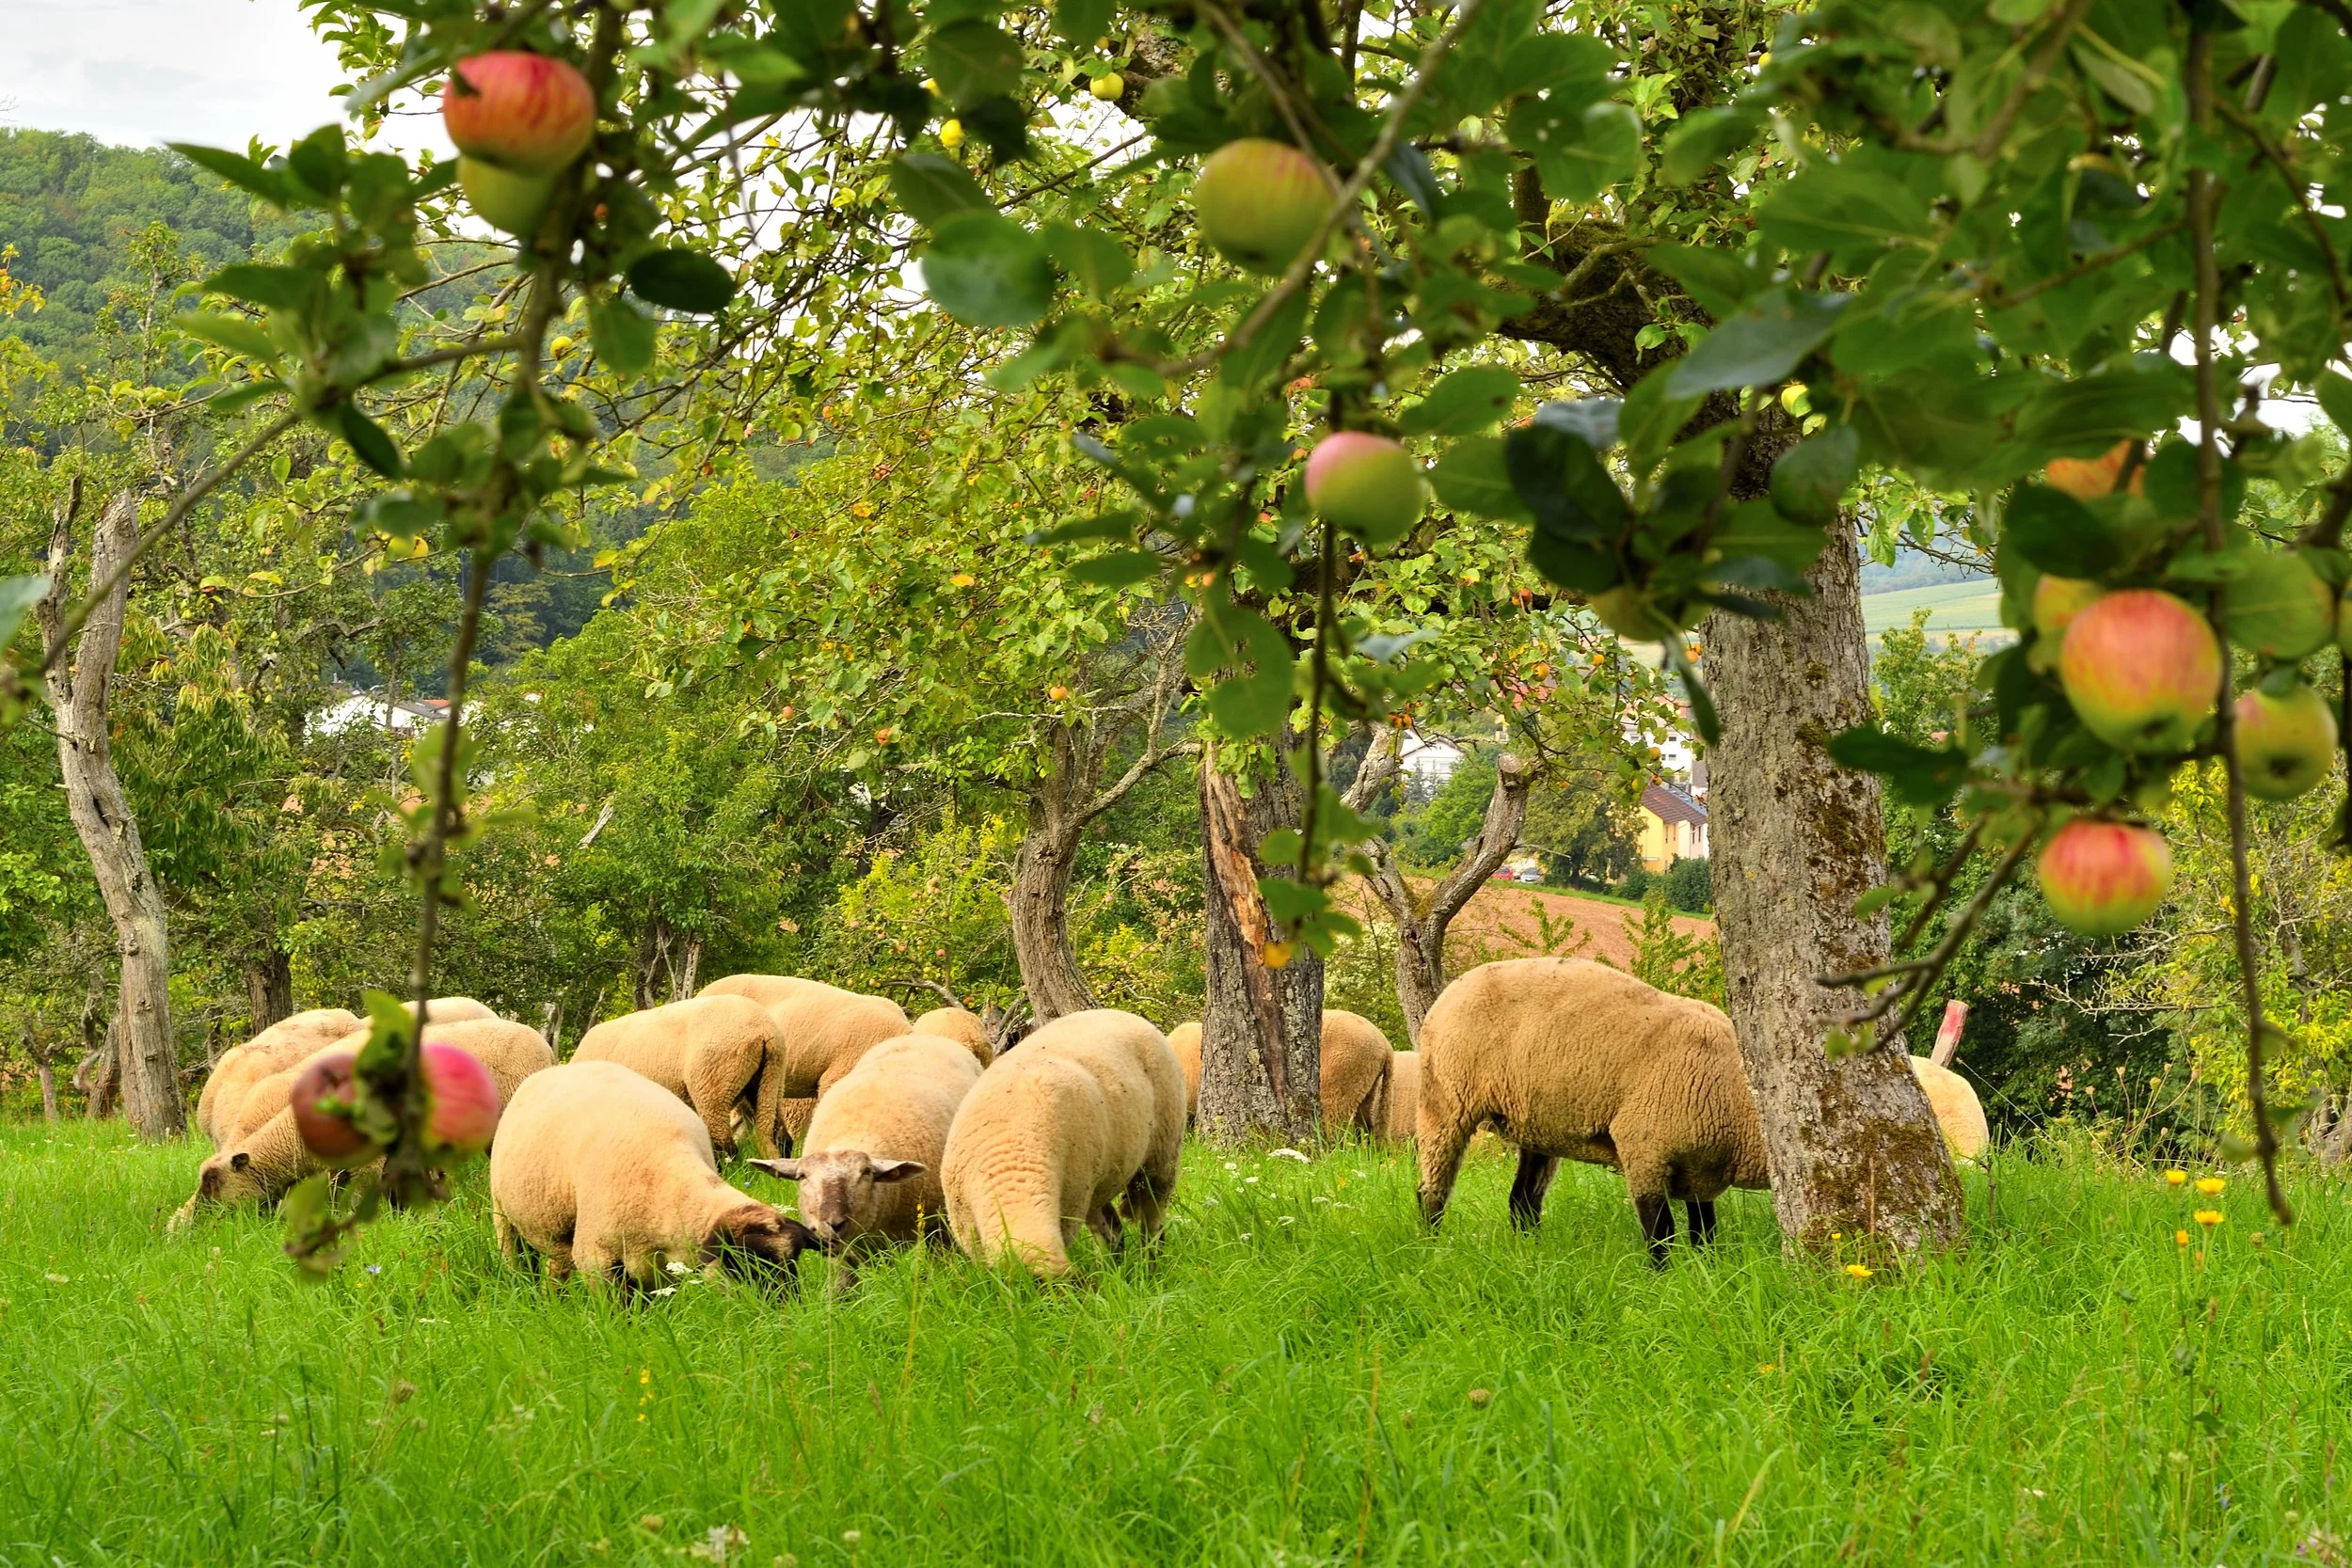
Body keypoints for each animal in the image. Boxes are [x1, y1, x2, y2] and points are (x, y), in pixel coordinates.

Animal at [491, 1060, 815, 1295]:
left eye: (793, 1261)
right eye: (744, 1261)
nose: (783, 1312)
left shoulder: (658, 1264)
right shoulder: (595, 1257)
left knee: (554, 1268)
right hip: (504, 1214)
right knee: (517, 1260)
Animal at [747, 1033, 982, 1292]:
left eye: (866, 1173)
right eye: (802, 1177)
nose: (833, 1224)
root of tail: (924, 1036)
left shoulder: (936, 1226)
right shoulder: (845, 1253)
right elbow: (844, 1286)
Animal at [939, 1008, 1183, 1278]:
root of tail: (1120, 1013)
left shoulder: (1069, 1208)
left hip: (1161, 1156)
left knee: (1152, 1223)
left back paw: (1151, 1270)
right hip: (1097, 1184)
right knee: (1112, 1229)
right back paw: (1114, 1273)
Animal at [1416, 958, 1769, 1264]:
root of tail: (1453, 987)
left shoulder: (1700, 1171)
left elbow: (1704, 1233)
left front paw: (1706, 1271)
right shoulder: (1643, 1150)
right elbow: (1660, 1231)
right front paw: (1664, 1281)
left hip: (1535, 1122)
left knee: (1523, 1201)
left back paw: (1532, 1256)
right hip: (1446, 1100)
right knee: (1431, 1190)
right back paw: (1430, 1248)